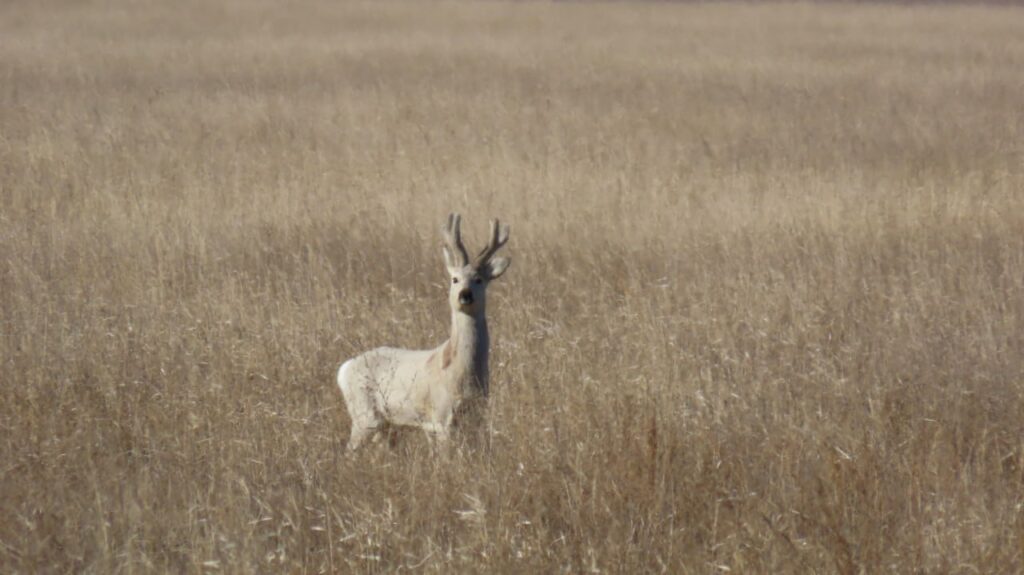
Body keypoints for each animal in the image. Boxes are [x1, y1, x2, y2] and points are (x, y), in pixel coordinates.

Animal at [337, 213, 511, 451]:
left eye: (479, 279)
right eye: (454, 279)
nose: (465, 294)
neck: (461, 375)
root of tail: (344, 369)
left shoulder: (477, 414)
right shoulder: (442, 416)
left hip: (386, 424)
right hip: (363, 415)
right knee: (350, 449)